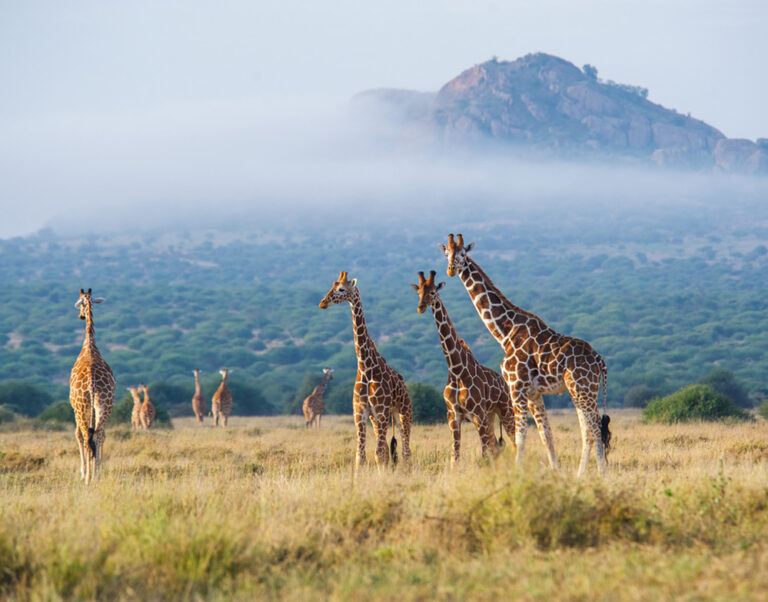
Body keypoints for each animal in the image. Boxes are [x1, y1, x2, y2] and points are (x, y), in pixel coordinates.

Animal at [319, 271, 413, 470]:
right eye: (332, 285)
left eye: (342, 289)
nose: (322, 302)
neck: (366, 367)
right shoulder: (360, 413)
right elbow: (361, 455)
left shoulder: (381, 411)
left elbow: (378, 454)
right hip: (378, 418)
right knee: (390, 449)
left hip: (403, 412)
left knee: (406, 450)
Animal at [412, 270, 516, 466]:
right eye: (419, 292)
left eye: (433, 292)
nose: (420, 307)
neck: (456, 369)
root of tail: (504, 384)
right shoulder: (453, 416)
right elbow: (455, 456)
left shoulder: (477, 414)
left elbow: (484, 455)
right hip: (490, 416)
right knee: (496, 447)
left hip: (505, 411)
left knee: (514, 442)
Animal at [440, 234, 611, 477]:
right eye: (447, 253)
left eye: (463, 253)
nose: (450, 270)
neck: (505, 333)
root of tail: (600, 361)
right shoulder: (533, 393)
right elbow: (545, 435)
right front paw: (556, 472)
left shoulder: (516, 386)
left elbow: (520, 437)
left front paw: (516, 474)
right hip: (580, 392)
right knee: (587, 431)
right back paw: (580, 475)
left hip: (583, 390)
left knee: (595, 429)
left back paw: (601, 475)